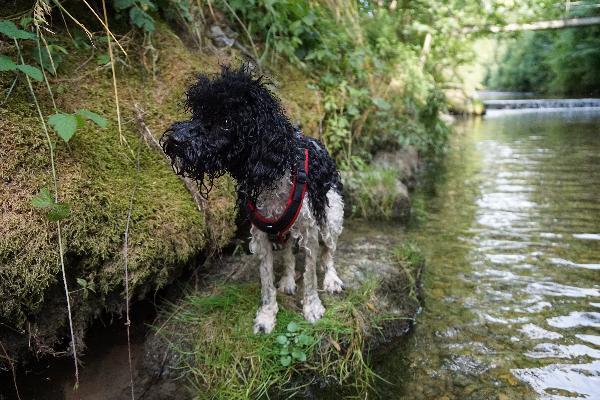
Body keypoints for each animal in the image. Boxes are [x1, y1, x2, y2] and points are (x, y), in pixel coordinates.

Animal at [161, 64, 344, 334]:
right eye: (198, 113)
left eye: (227, 122)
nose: (174, 140)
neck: (272, 173)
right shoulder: (261, 234)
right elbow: (267, 282)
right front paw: (267, 317)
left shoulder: (310, 230)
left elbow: (311, 276)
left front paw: (312, 308)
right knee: (288, 253)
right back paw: (287, 280)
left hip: (331, 218)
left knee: (328, 252)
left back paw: (331, 279)